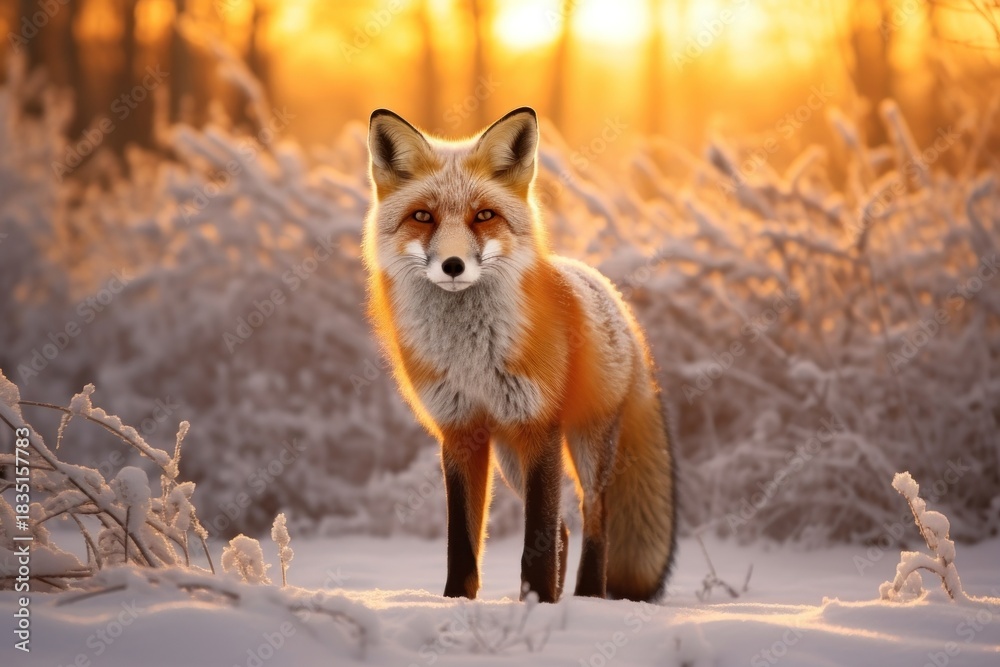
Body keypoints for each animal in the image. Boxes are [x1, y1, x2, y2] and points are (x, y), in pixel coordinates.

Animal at [362, 106, 676, 603]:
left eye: (484, 215)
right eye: (423, 216)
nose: (453, 265)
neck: (470, 357)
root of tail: (618, 303)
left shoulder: (538, 425)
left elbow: (537, 541)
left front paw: (540, 606)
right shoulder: (461, 431)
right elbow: (462, 543)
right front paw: (458, 603)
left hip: (586, 444)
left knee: (594, 517)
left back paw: (587, 597)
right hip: (510, 456)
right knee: (564, 527)